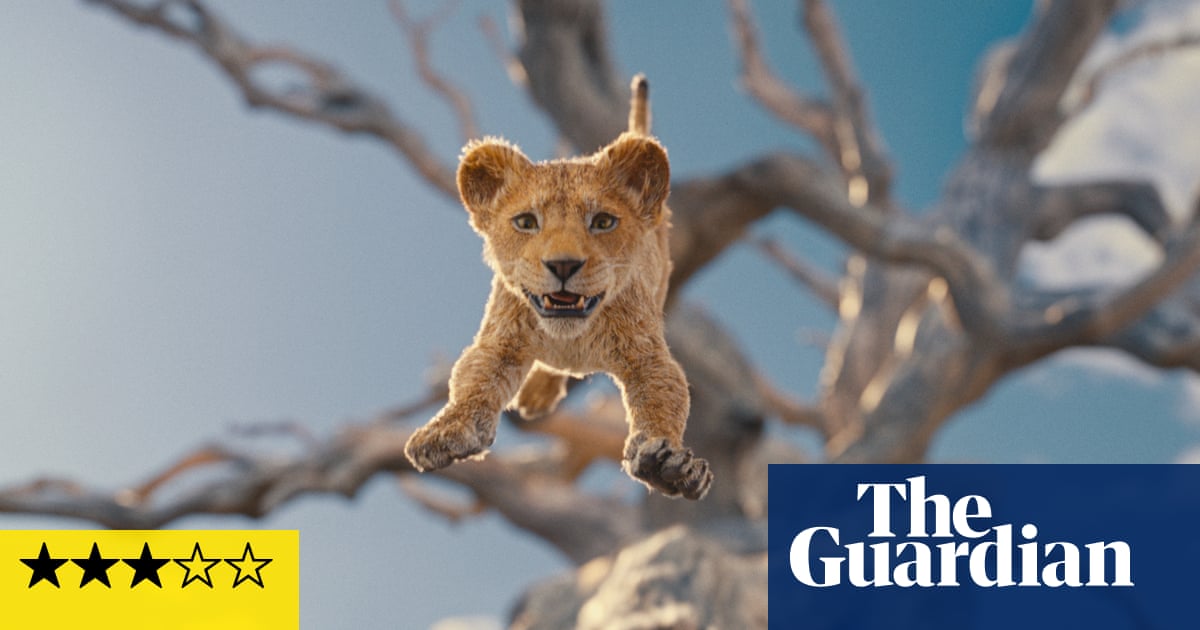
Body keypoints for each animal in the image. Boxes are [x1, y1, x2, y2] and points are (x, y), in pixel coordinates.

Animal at [403, 75, 712, 500]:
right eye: (526, 222)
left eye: (603, 222)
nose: (563, 264)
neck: (570, 337)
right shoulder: (499, 341)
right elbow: (472, 382)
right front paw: (445, 431)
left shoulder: (647, 355)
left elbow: (664, 398)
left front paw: (668, 465)